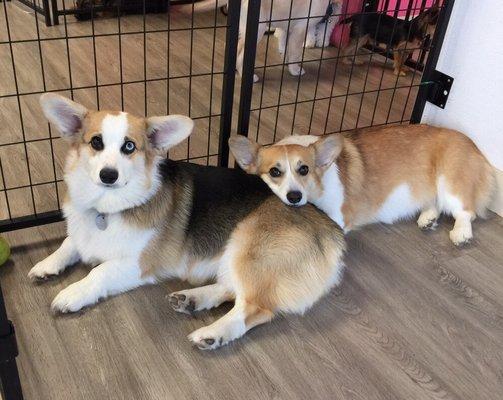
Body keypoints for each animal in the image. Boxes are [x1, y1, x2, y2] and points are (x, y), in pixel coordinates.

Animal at [231, 124, 496, 247]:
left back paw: (461, 233)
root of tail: (475, 147)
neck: (317, 184)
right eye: (275, 172)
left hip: (449, 182)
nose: (294, 196)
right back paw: (427, 218)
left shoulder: (338, 217)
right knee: (434, 203)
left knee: (465, 211)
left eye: (303, 169)